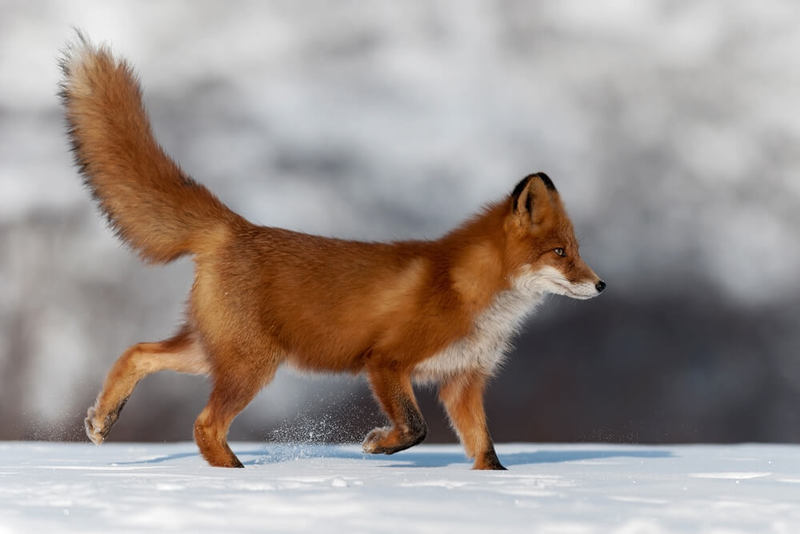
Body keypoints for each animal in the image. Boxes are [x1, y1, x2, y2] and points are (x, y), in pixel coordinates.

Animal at [57, 31, 608, 472]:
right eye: (559, 252)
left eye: (575, 250)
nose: (601, 285)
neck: (472, 292)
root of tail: (236, 226)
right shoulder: (386, 362)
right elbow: (415, 428)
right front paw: (376, 446)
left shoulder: (462, 382)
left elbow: (486, 451)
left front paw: (498, 490)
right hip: (251, 366)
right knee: (203, 424)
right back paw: (236, 479)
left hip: (213, 352)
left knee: (137, 352)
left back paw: (103, 420)